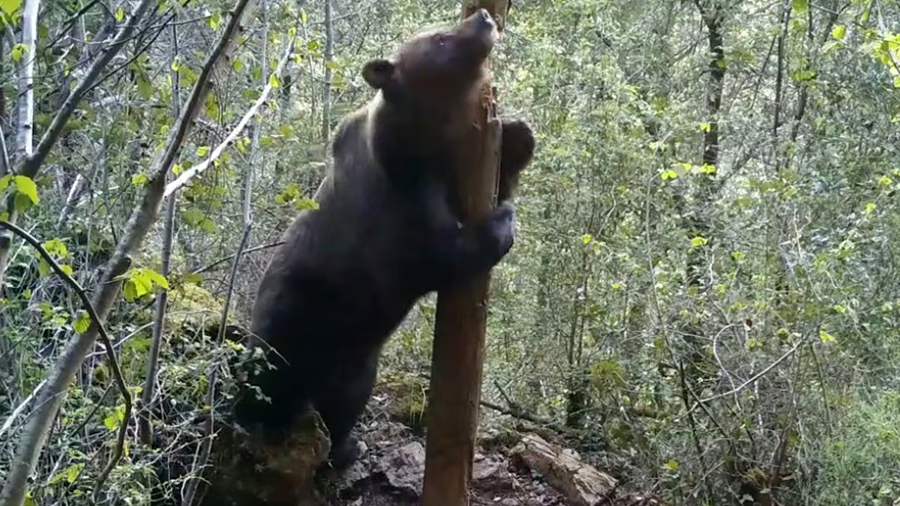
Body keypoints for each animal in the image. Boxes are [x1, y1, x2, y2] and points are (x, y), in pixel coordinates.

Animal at [232, 8, 535, 472]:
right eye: (440, 38)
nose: (484, 17)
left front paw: (519, 137)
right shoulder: (400, 205)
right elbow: (443, 254)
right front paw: (502, 223)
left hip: (356, 358)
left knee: (344, 402)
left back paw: (345, 446)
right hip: (291, 326)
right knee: (270, 384)